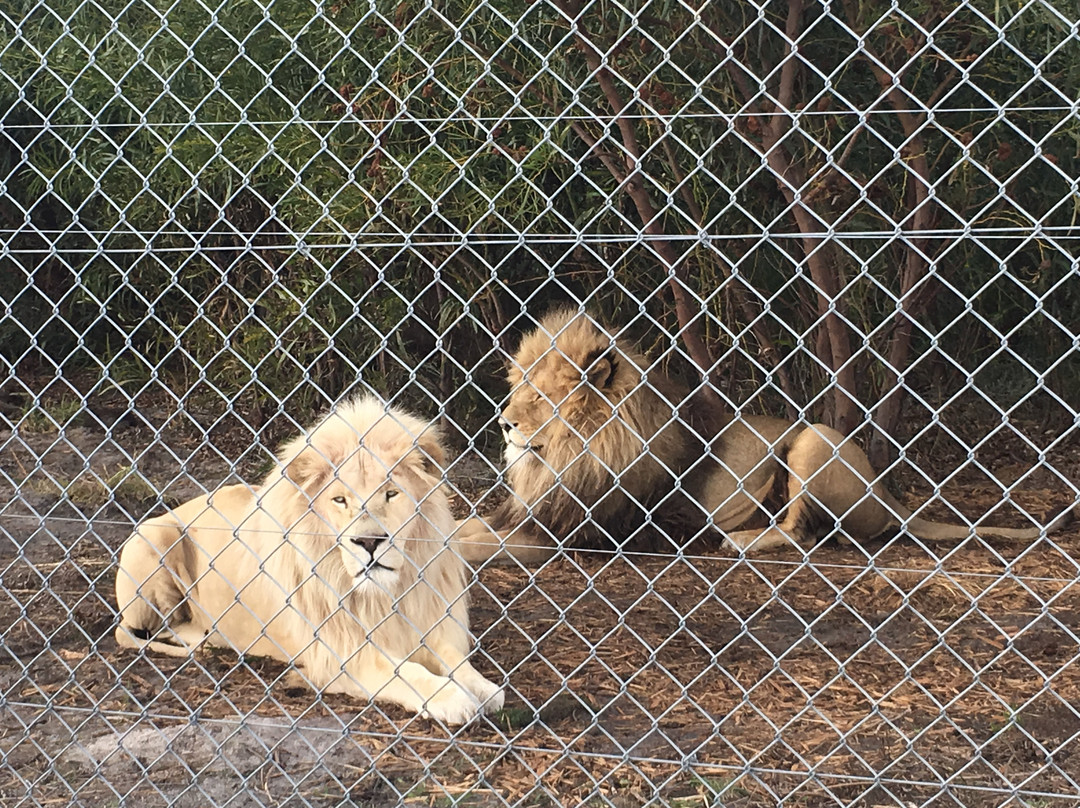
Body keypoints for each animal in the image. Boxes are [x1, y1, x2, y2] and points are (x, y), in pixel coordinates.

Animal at [116, 397, 503, 725]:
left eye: (391, 494)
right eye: (340, 500)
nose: (369, 542)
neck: (383, 595)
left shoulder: (424, 623)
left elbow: (455, 660)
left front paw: (483, 688)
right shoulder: (340, 654)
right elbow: (409, 672)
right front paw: (453, 698)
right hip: (150, 539)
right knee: (159, 627)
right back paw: (208, 636)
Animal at [453, 308, 1071, 561]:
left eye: (542, 397)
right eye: (518, 386)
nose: (503, 421)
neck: (563, 457)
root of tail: (887, 496)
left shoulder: (579, 534)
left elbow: (474, 546)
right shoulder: (530, 512)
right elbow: (461, 527)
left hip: (814, 439)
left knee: (806, 533)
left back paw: (744, 541)